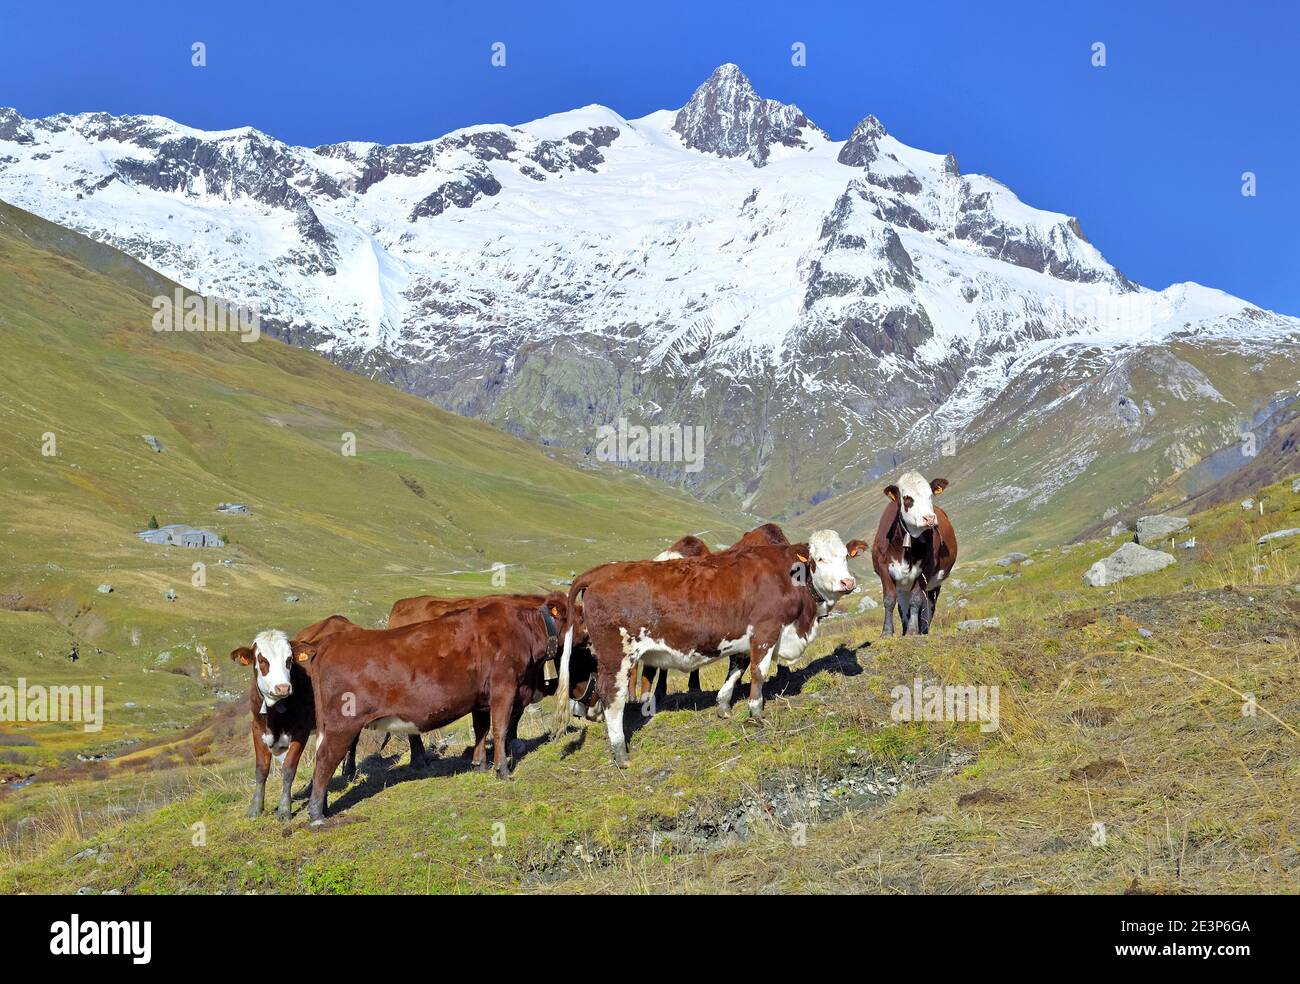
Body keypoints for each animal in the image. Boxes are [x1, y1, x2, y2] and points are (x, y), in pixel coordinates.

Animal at [303, 592, 574, 823]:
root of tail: (326, 645)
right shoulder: (504, 688)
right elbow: (500, 728)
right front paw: (503, 771)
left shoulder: (481, 699)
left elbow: (481, 730)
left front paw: (480, 766)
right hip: (342, 724)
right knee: (325, 760)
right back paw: (317, 816)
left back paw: (323, 808)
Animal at [552, 531, 862, 767]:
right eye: (819, 559)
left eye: (845, 557)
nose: (848, 582)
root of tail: (600, 572)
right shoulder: (766, 630)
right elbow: (758, 672)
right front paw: (756, 712)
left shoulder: (744, 635)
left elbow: (737, 668)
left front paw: (724, 706)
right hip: (617, 654)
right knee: (612, 697)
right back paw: (620, 753)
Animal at [871, 471, 957, 636]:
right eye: (907, 498)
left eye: (930, 495)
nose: (929, 518)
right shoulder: (884, 567)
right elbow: (889, 600)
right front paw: (887, 631)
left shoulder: (926, 569)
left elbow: (916, 600)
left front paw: (912, 630)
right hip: (903, 585)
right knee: (903, 607)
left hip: (934, 583)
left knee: (928, 606)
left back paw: (922, 629)